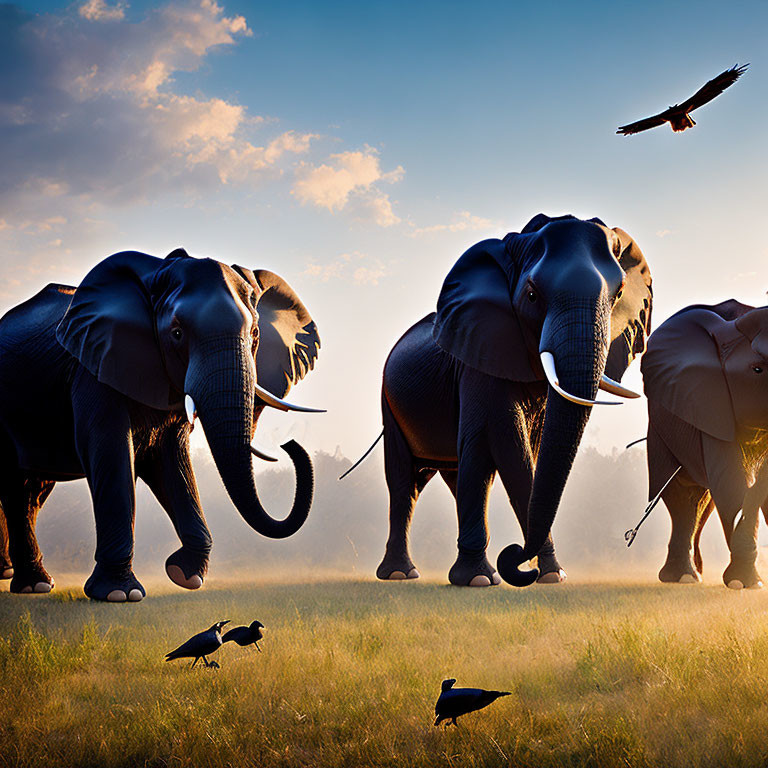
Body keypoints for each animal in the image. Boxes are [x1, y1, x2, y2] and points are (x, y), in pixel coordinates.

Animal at [0, 249, 320, 604]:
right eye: (177, 333)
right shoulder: (92, 365)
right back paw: (33, 585)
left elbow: (171, 459)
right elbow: (108, 448)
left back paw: (31, 581)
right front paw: (119, 594)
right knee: (15, 485)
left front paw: (184, 574)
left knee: (32, 490)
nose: (289, 446)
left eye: (255, 336)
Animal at [376, 213, 652, 584]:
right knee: (405, 481)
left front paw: (551, 575)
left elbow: (530, 452)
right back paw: (400, 575)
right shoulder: (479, 356)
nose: (517, 557)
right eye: (532, 295)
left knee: (450, 474)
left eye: (619, 293)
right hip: (388, 401)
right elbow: (508, 442)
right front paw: (479, 580)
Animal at [640, 298, 768, 588]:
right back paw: (685, 577)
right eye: (757, 370)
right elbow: (732, 483)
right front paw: (745, 583)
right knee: (682, 494)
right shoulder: (709, 400)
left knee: (702, 499)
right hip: (661, 423)